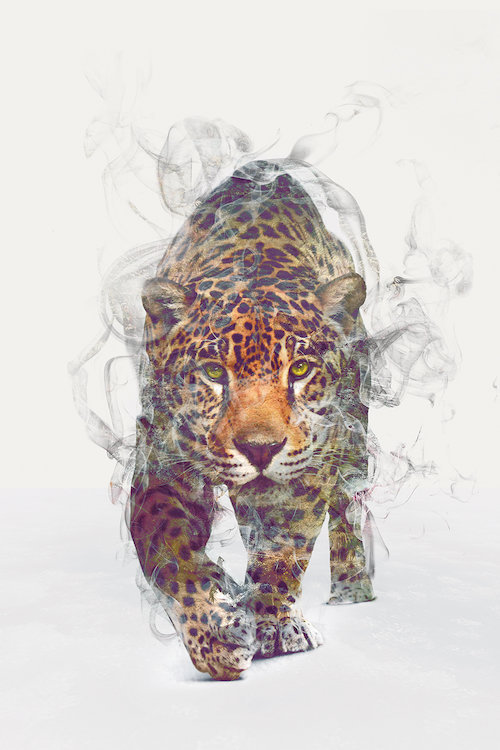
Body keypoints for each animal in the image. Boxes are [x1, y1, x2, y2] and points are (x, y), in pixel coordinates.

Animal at [129, 159, 375, 680]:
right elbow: (169, 553)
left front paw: (271, 624)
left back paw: (351, 590)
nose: (260, 448)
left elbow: (282, 551)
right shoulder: (160, 461)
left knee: (348, 510)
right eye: (212, 372)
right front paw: (216, 636)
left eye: (299, 370)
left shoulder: (306, 468)